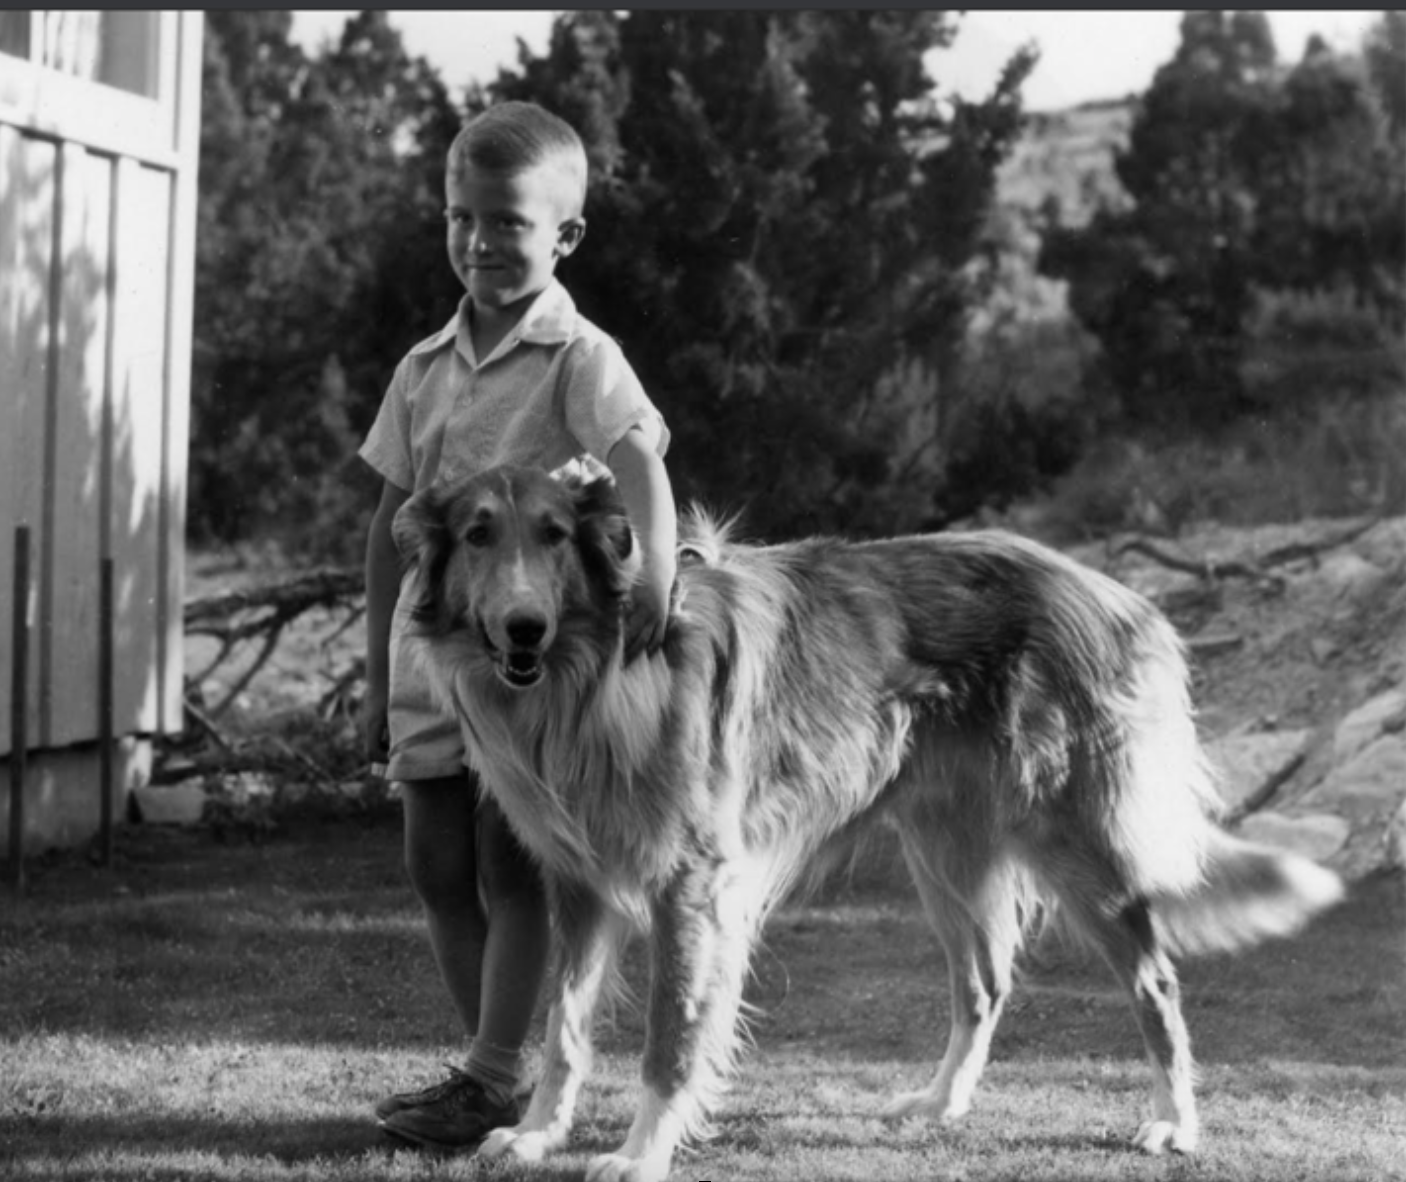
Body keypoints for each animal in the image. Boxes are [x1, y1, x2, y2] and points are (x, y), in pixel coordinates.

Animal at [393, 460, 1338, 1180]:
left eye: (554, 534)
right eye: (478, 534)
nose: (523, 627)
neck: (594, 679)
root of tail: (1115, 595)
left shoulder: (689, 886)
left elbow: (671, 1038)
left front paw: (640, 1153)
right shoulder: (580, 885)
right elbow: (565, 1026)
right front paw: (536, 1134)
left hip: (1073, 844)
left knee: (1155, 982)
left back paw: (1175, 1123)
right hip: (943, 853)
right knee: (985, 983)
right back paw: (940, 1103)